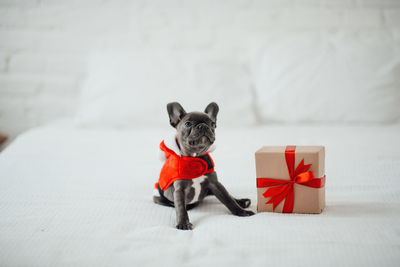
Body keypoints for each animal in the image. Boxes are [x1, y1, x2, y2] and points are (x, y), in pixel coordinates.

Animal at [153, 102, 253, 230]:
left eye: (212, 124)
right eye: (187, 123)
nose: (203, 126)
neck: (195, 157)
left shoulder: (215, 184)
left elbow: (228, 199)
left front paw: (241, 211)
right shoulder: (179, 189)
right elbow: (180, 207)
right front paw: (183, 223)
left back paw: (242, 202)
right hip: (158, 197)